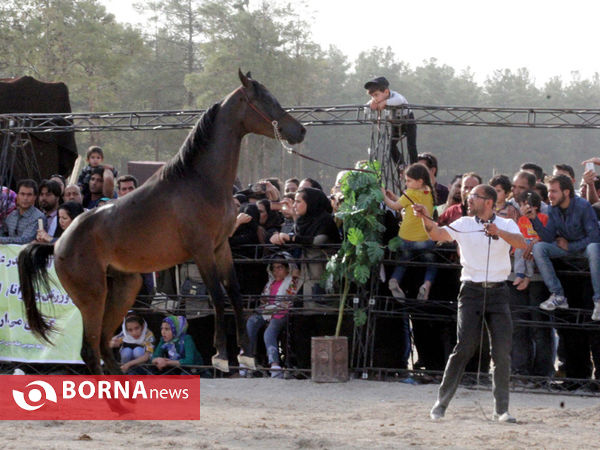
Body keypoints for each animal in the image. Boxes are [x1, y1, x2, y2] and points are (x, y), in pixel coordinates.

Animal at [17, 69, 304, 372]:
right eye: (265, 100)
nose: (299, 130)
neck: (200, 181)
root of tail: (59, 243)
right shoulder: (202, 251)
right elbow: (217, 297)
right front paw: (222, 356)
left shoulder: (220, 247)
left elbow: (235, 295)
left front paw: (246, 354)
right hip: (93, 298)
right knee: (91, 350)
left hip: (124, 289)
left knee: (105, 345)